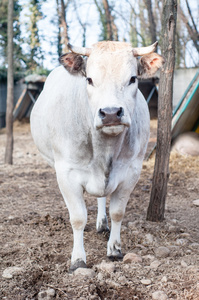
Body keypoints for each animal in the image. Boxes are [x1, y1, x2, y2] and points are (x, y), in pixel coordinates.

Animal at [30, 41, 164, 270]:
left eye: (132, 78)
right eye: (89, 79)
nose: (110, 113)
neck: (105, 149)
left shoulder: (131, 172)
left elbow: (117, 212)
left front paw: (115, 249)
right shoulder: (66, 174)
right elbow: (77, 218)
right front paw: (77, 259)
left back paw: (102, 224)